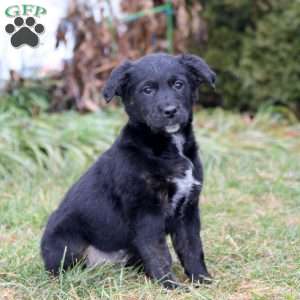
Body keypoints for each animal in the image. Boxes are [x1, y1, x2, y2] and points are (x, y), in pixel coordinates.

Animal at [41, 53, 216, 288]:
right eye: (147, 90)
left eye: (179, 84)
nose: (170, 111)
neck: (166, 147)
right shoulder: (146, 212)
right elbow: (159, 253)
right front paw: (169, 285)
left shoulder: (187, 209)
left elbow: (192, 248)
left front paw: (202, 281)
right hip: (65, 240)